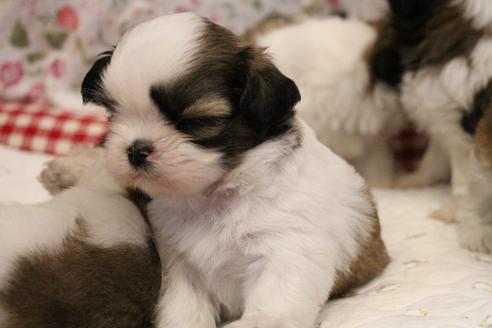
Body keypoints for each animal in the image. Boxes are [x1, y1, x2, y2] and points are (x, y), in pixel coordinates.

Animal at [59, 12, 388, 328]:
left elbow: (277, 297)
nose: (135, 150)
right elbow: (184, 305)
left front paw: (260, 322)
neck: (214, 196)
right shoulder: (180, 261)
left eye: (195, 122)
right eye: (113, 116)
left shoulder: (286, 246)